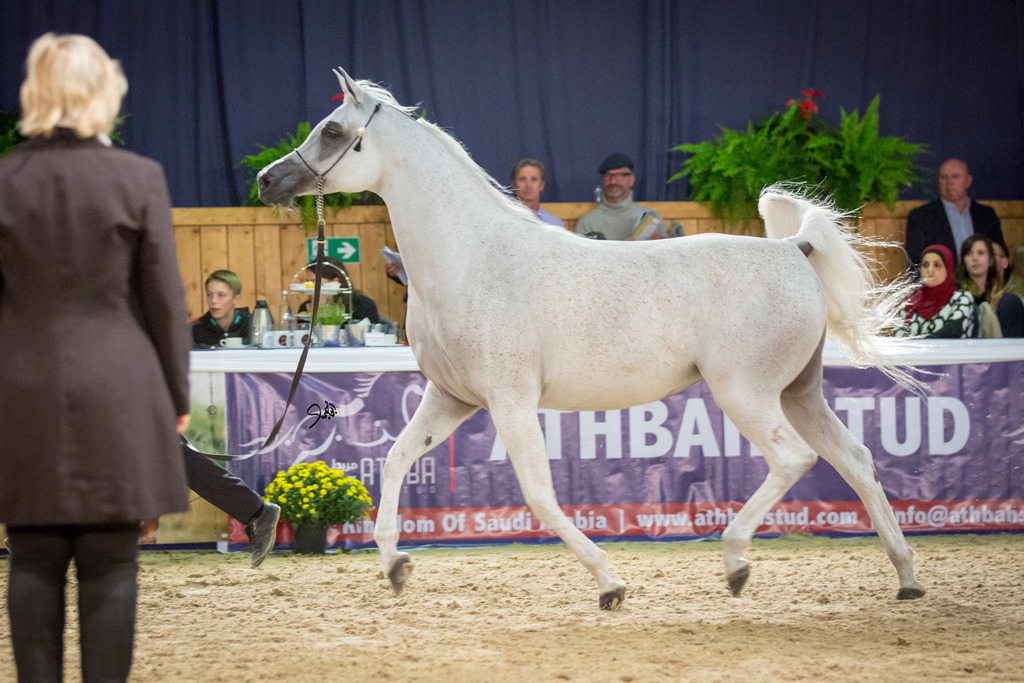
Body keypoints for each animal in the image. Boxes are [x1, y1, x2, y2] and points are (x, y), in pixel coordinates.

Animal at [257, 68, 927, 610]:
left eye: (334, 131)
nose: (267, 181)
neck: (472, 258)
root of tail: (794, 249)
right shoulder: (453, 398)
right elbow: (396, 460)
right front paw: (396, 565)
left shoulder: (510, 402)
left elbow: (539, 493)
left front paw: (610, 584)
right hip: (798, 393)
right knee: (855, 460)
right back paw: (907, 579)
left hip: (747, 393)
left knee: (794, 459)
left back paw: (737, 563)